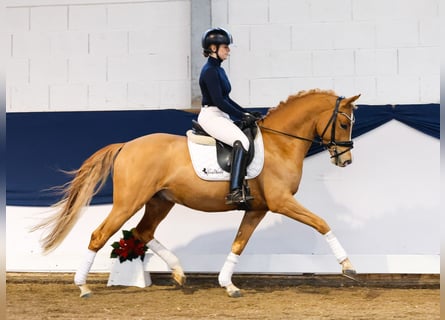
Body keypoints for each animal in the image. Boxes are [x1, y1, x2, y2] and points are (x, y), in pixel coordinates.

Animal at [33, 88, 360, 298]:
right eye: (344, 123)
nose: (345, 161)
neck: (280, 143)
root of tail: (126, 145)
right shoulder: (282, 202)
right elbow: (321, 223)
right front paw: (347, 265)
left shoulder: (257, 209)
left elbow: (239, 243)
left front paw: (228, 284)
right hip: (129, 201)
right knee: (100, 235)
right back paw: (83, 286)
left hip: (159, 202)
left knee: (142, 232)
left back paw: (178, 271)